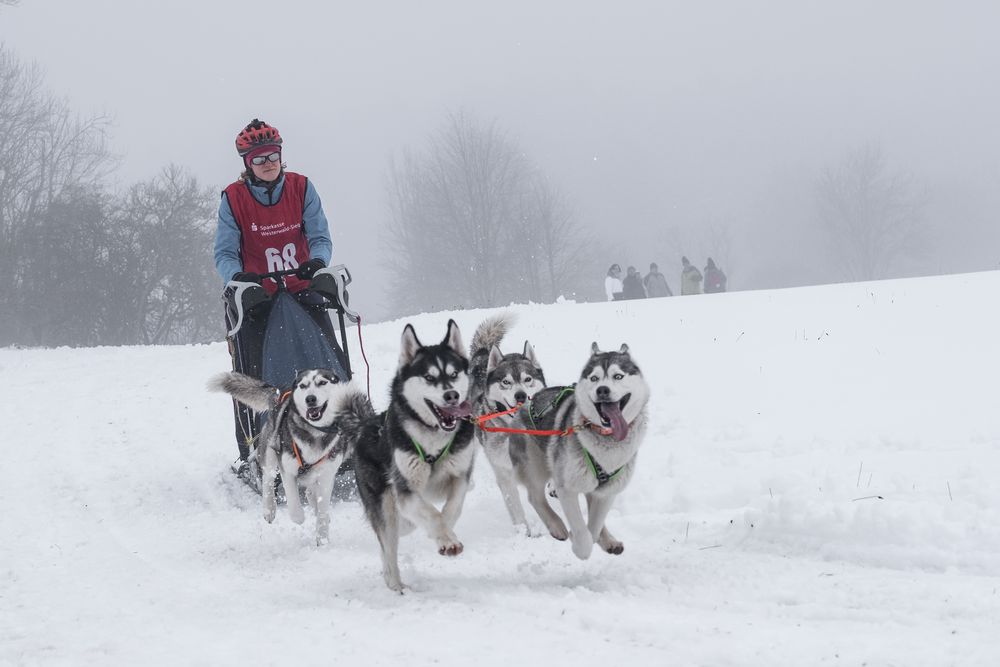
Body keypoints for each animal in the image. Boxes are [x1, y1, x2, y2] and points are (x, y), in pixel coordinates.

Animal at [207, 368, 372, 544]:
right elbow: (294, 506)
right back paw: (269, 509)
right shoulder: (288, 471)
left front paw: (322, 538)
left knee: (309, 492)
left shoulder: (327, 475)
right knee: (267, 478)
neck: (315, 432)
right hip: (270, 451)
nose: (310, 399)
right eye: (303, 385)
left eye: (322, 382)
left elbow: (322, 508)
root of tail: (278, 393)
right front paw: (299, 517)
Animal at [348, 320, 476, 592]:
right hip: (386, 508)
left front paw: (446, 535)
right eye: (429, 377)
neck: (434, 438)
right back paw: (396, 585)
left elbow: (451, 508)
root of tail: (364, 427)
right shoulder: (405, 490)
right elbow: (432, 514)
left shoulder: (460, 475)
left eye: (453, 374)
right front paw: (446, 540)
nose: (451, 395)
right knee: (388, 549)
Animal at [468, 314, 548, 532]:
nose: (520, 395)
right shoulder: (505, 474)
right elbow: (516, 508)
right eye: (506, 382)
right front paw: (525, 532)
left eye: (528, 379)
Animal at [512, 344, 652, 560]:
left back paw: (609, 540)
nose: (602, 389)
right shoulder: (567, 487)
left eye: (618, 376)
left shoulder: (607, 492)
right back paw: (557, 527)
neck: (607, 439)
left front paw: (595, 536)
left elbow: (593, 527)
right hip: (535, 465)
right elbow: (581, 530)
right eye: (594, 378)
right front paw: (579, 546)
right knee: (535, 497)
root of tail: (532, 398)